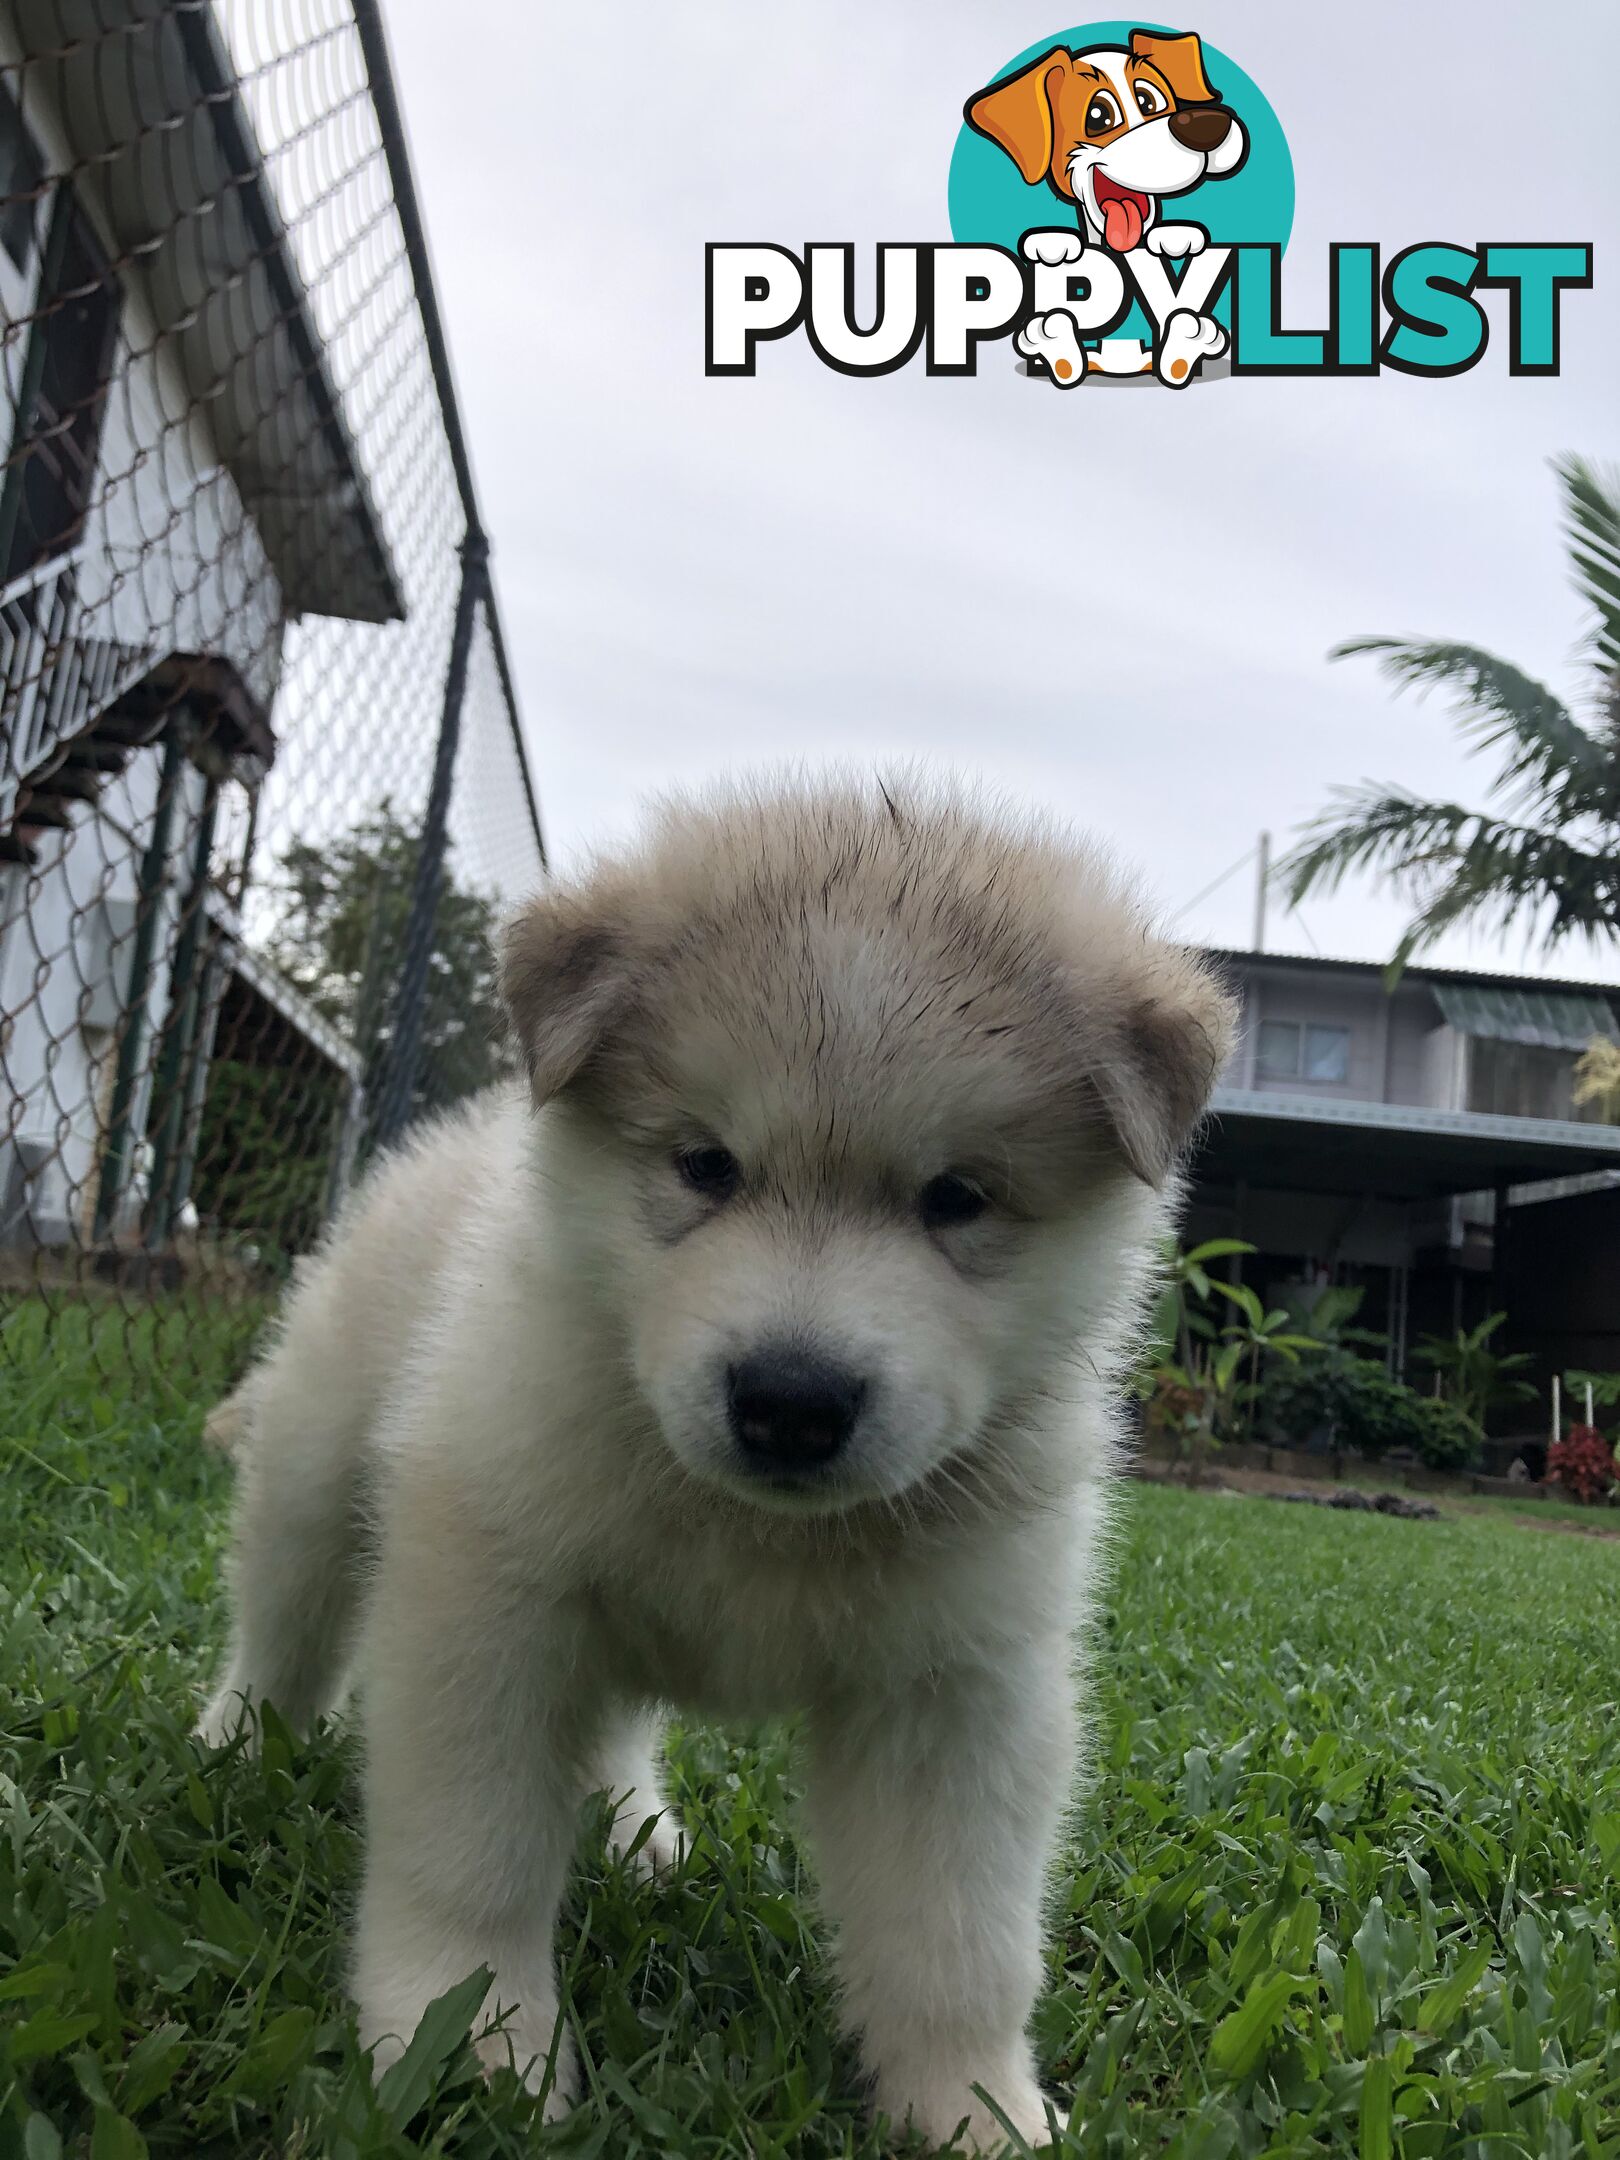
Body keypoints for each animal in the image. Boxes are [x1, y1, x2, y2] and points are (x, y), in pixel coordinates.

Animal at [203, 773, 1235, 2142]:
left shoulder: (957, 1690)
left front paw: (974, 2107)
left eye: (957, 1198)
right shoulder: (486, 1605)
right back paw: (233, 1741)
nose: (791, 1400)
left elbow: (958, 1936)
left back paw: (636, 1831)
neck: (759, 1527)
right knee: (285, 1616)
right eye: (705, 1165)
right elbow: (473, 1858)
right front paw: (472, 2045)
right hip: (321, 1464)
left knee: (608, 1729)